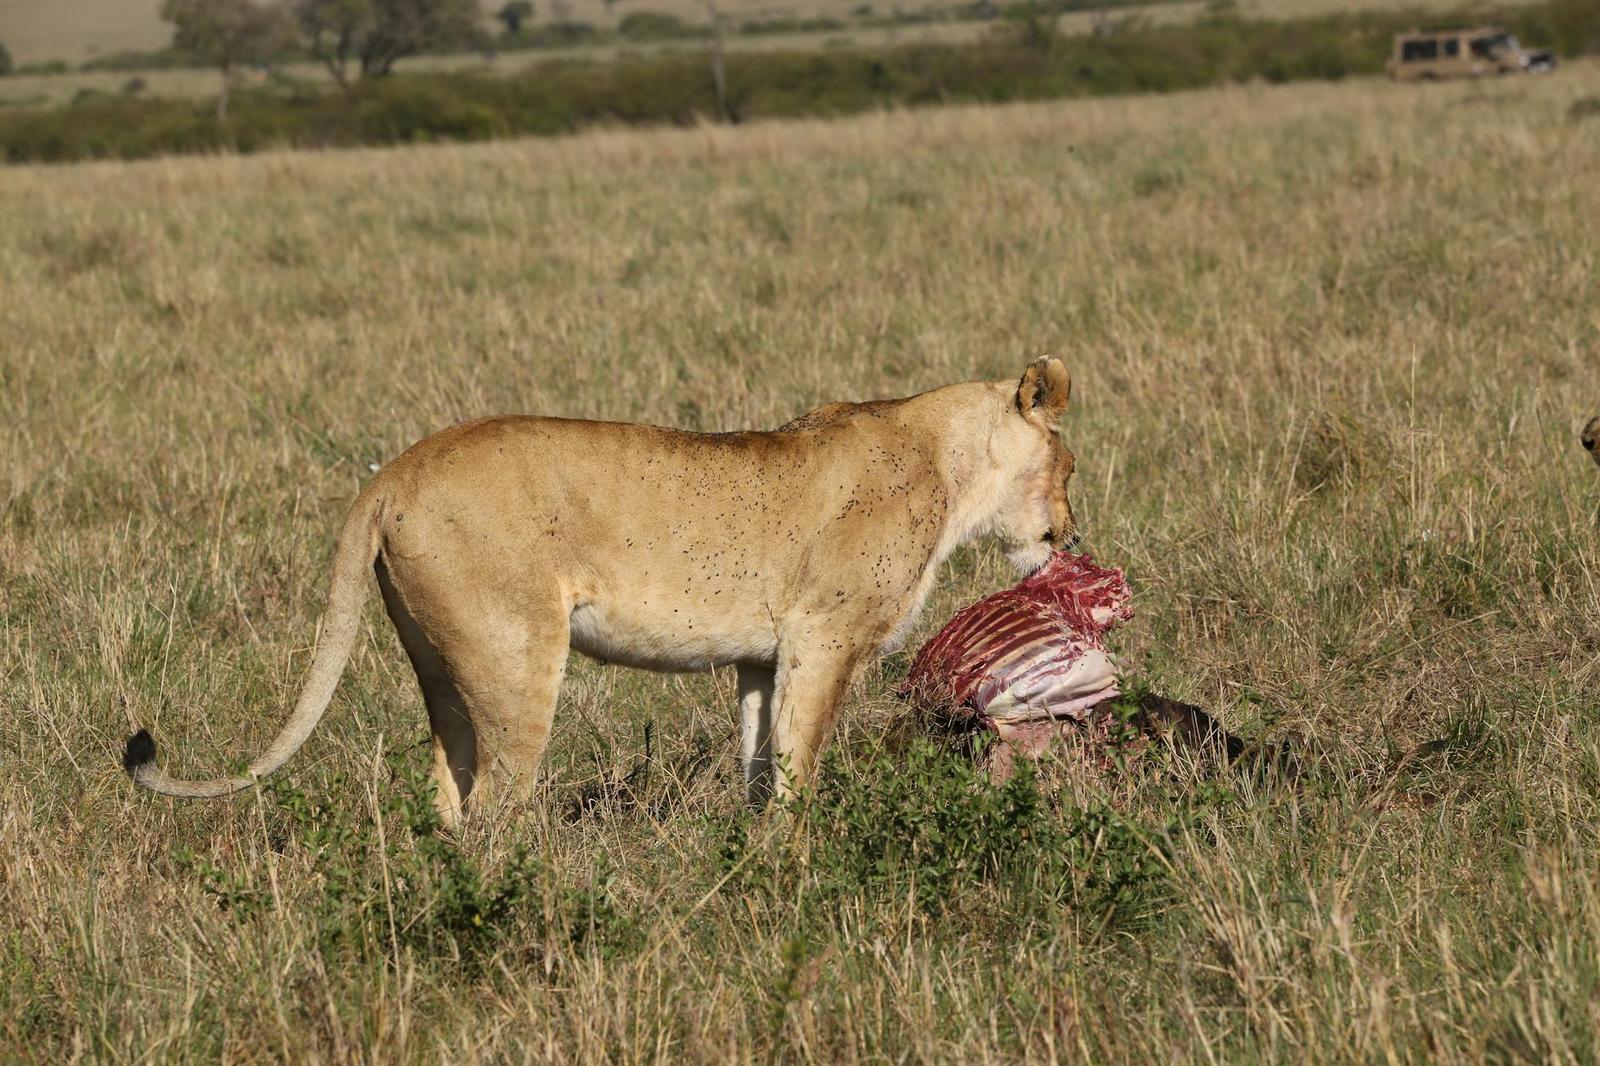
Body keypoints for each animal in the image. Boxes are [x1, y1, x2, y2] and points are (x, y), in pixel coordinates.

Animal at [123, 358, 1080, 825]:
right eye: (1068, 463)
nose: (1070, 535)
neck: (947, 464)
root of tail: (392, 472)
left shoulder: (762, 658)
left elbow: (758, 765)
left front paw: (752, 857)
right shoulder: (825, 639)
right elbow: (800, 768)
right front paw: (801, 867)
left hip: (439, 664)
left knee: (445, 792)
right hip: (515, 656)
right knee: (496, 809)